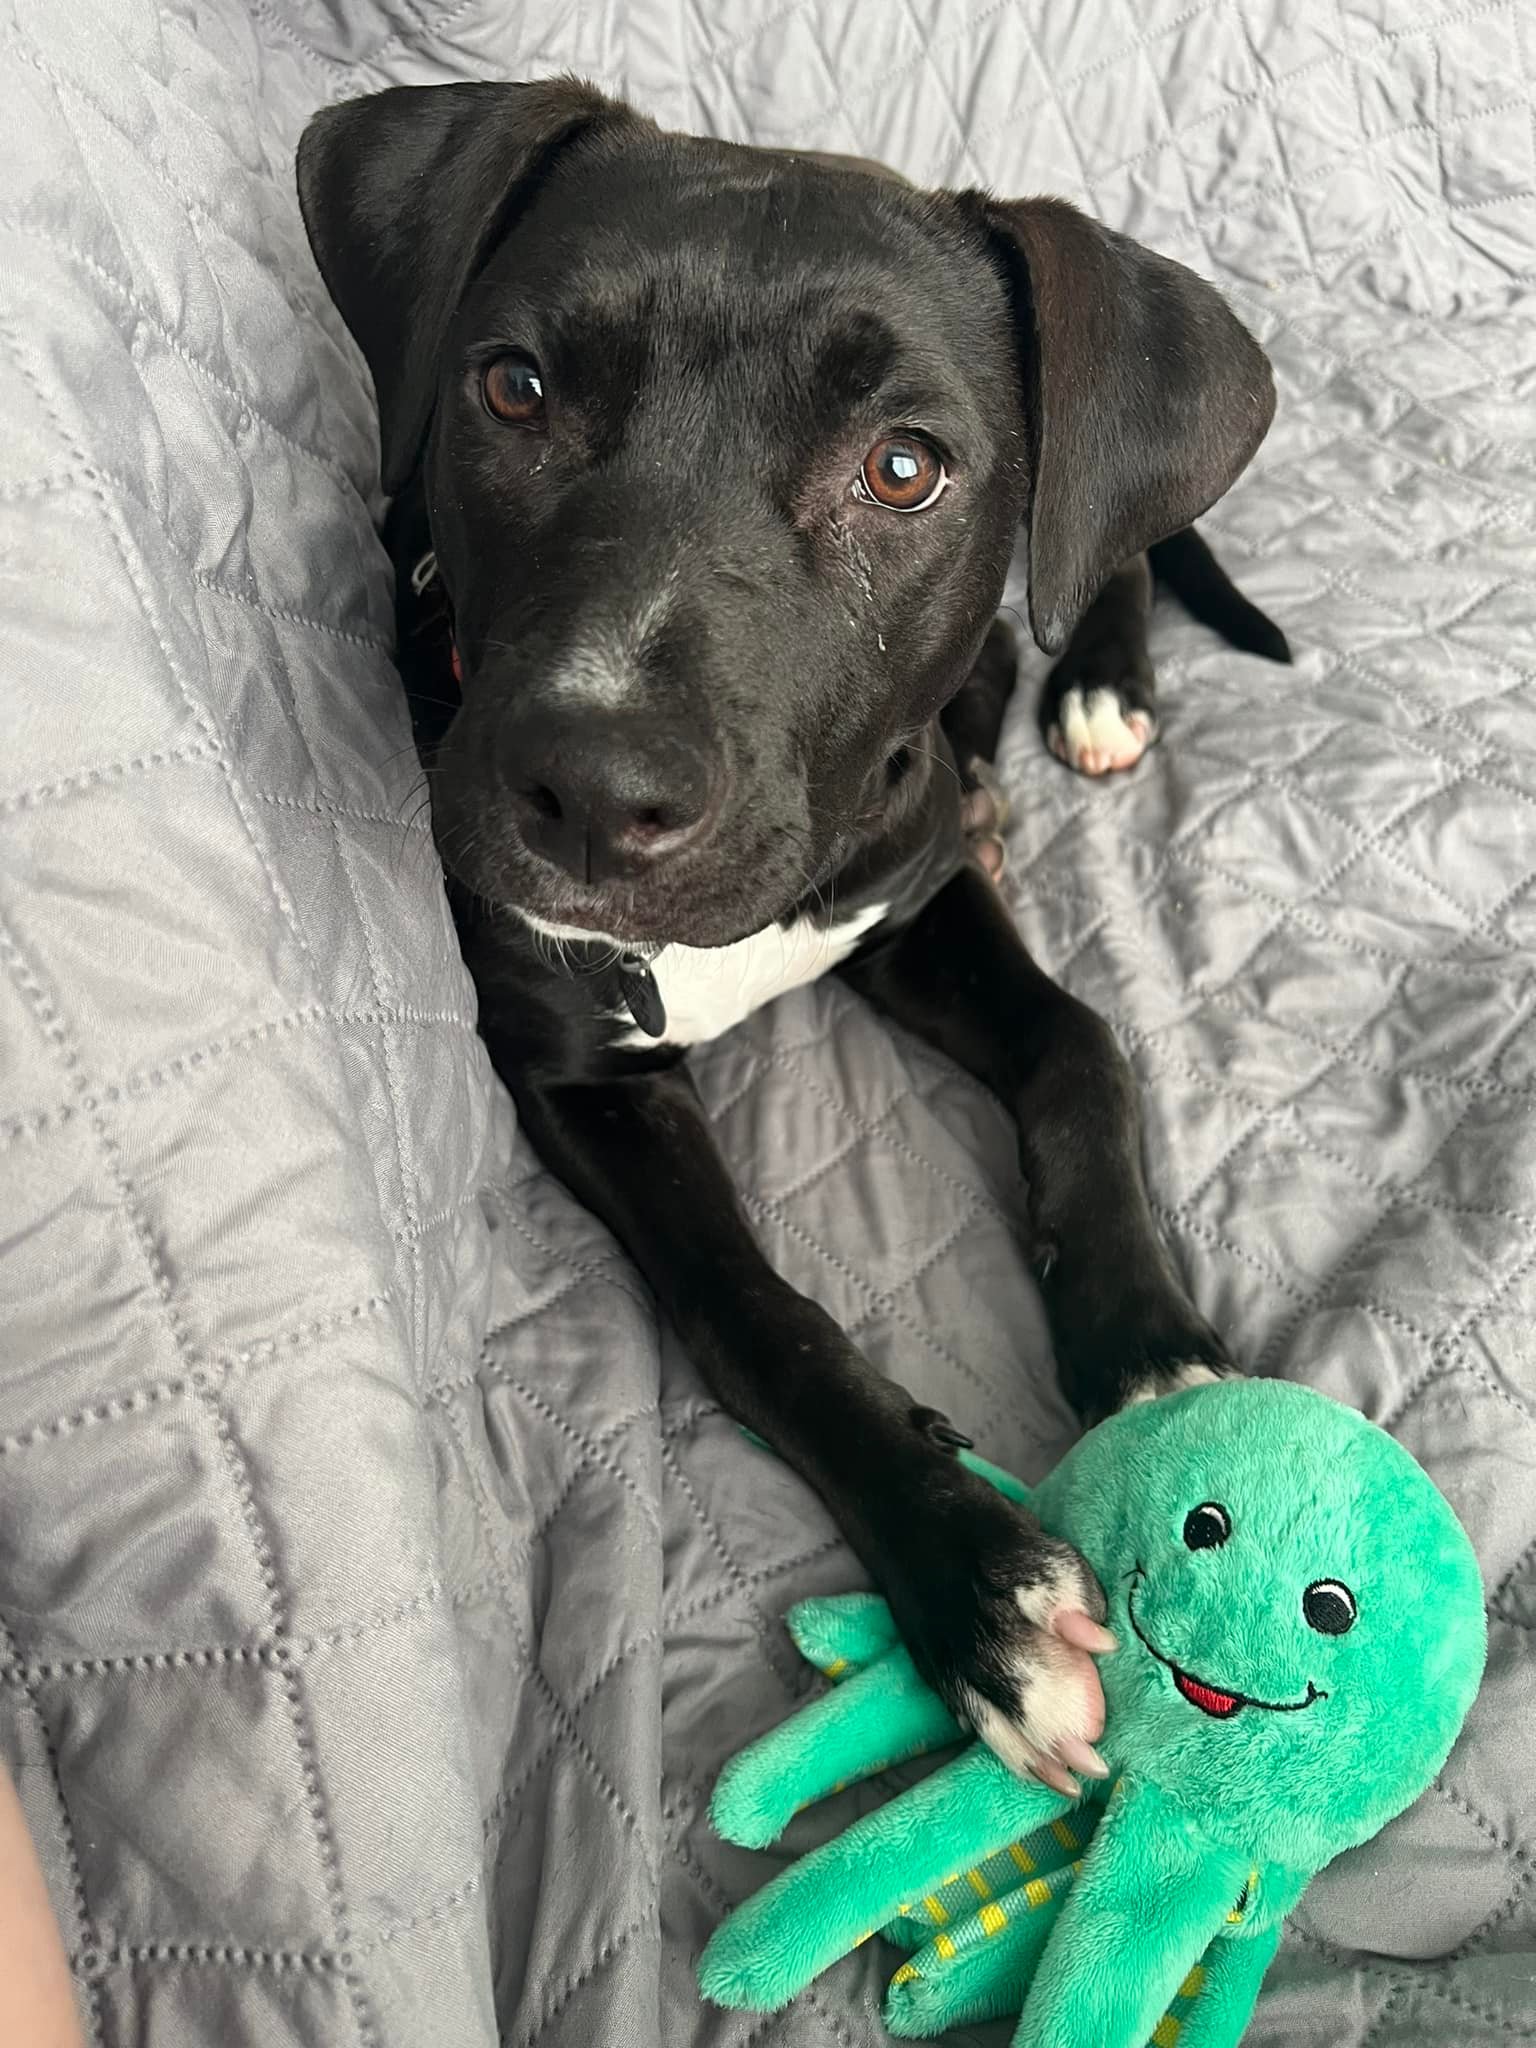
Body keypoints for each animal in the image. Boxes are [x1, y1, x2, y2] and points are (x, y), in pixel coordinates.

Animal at [294, 79, 1294, 1794]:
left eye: (902, 469)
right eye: (513, 387)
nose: (591, 789)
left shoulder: (909, 902)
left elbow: (1082, 1046)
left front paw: (1153, 1349)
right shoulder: (576, 1077)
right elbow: (753, 1309)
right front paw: (976, 1584)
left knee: (1107, 546)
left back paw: (1099, 686)